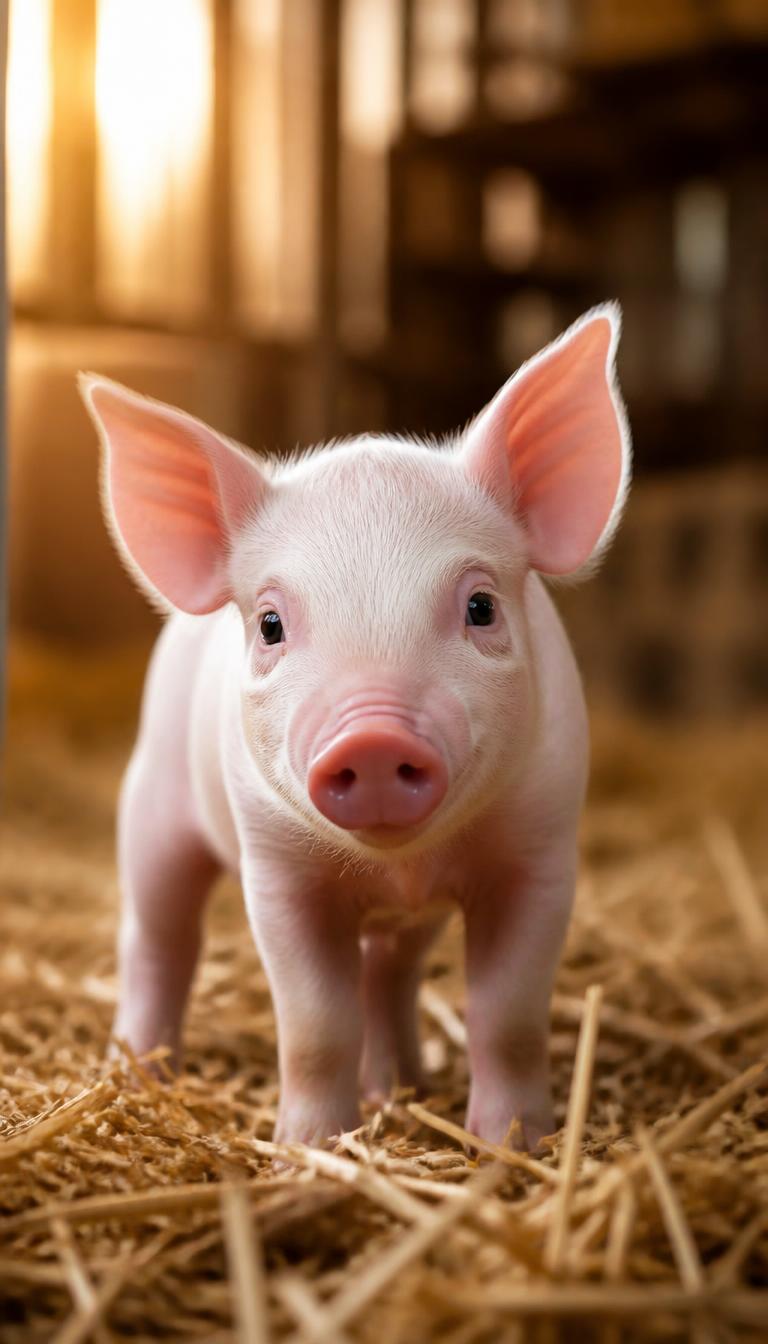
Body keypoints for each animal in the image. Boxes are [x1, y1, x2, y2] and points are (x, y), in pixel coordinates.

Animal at [79, 303, 630, 1150]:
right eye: (271, 624)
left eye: (481, 607)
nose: (373, 738)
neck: (398, 864)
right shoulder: (278, 873)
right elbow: (314, 1022)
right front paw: (307, 1148)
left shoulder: (538, 854)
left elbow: (506, 1013)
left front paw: (511, 1144)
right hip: (153, 804)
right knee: (158, 939)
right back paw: (140, 1075)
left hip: (411, 919)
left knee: (388, 972)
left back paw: (400, 1086)